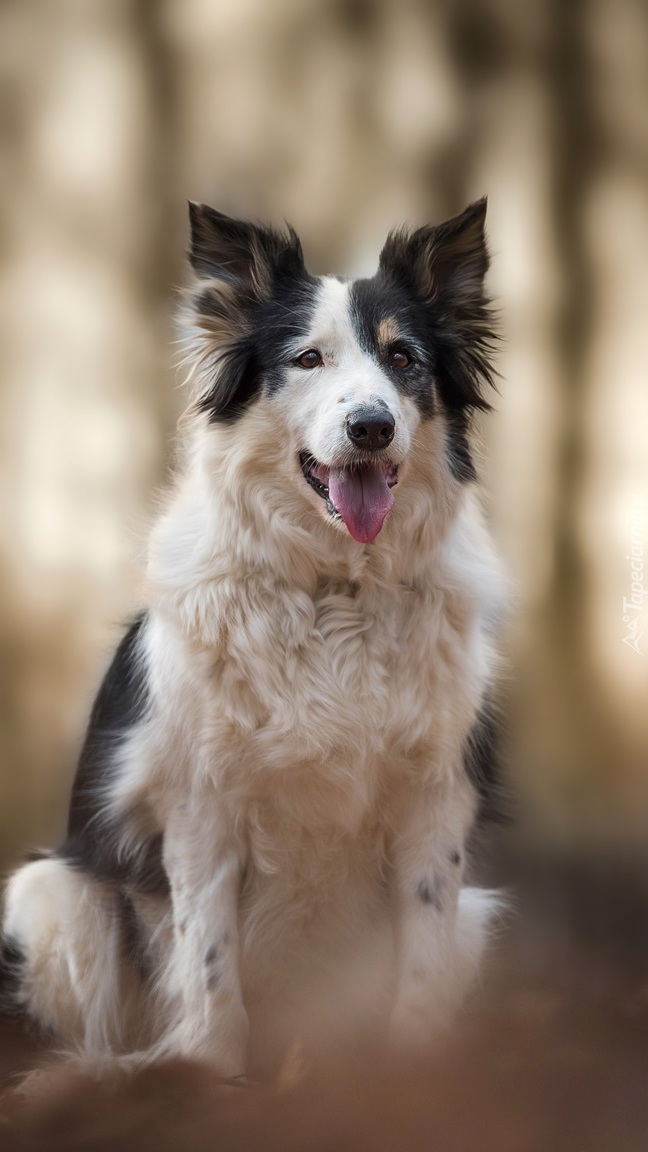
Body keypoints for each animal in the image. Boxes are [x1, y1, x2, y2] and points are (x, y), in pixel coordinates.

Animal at [1, 200, 505, 1078]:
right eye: (306, 359)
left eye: (403, 359)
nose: (371, 427)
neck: (337, 587)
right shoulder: (201, 802)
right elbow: (209, 959)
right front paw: (211, 1076)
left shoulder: (436, 800)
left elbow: (422, 957)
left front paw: (413, 1071)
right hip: (52, 895)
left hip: (473, 916)